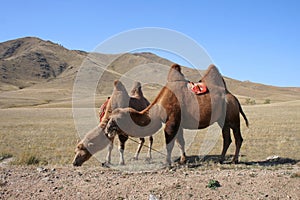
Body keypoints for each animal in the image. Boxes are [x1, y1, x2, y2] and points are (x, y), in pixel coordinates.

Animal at [105, 63, 248, 164]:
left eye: (116, 119)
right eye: (110, 117)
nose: (107, 129)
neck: (158, 108)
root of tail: (234, 97)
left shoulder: (172, 121)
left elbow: (170, 143)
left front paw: (168, 162)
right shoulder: (178, 123)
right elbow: (180, 142)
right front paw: (182, 160)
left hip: (233, 117)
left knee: (238, 137)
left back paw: (234, 160)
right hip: (222, 120)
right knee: (227, 138)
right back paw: (221, 159)